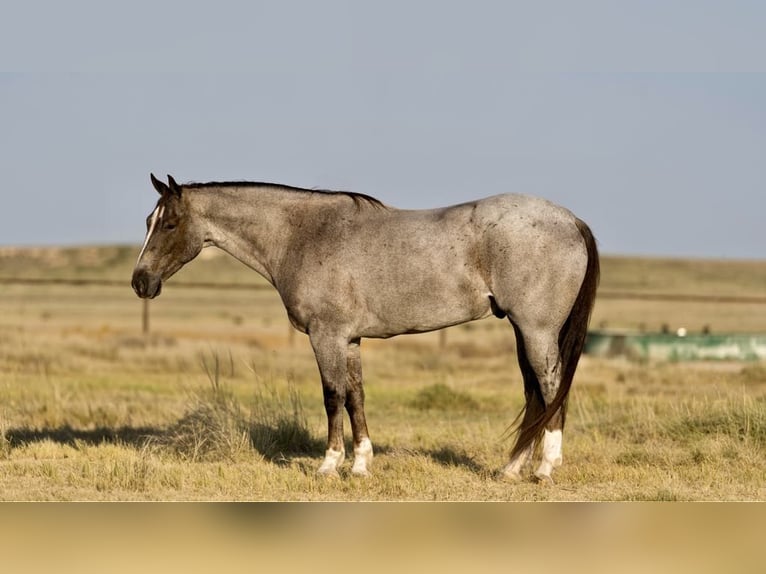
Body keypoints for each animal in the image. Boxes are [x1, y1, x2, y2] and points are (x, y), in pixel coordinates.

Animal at [132, 174, 599, 482]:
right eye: (147, 222)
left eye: (169, 224)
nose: (140, 282)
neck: (303, 235)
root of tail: (570, 219)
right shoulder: (351, 339)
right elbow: (356, 397)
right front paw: (360, 465)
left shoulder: (327, 336)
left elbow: (332, 396)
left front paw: (328, 464)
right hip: (523, 331)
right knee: (535, 394)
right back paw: (511, 468)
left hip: (536, 330)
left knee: (551, 388)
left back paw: (544, 469)